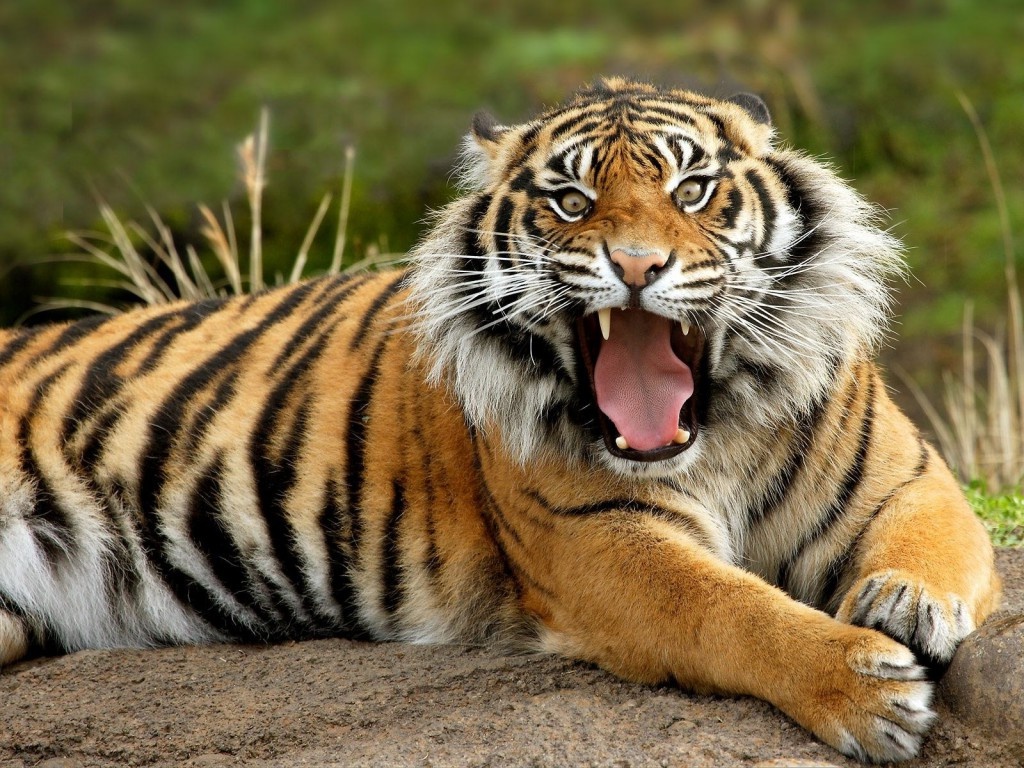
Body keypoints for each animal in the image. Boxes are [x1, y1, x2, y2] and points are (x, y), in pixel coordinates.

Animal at [0, 78, 1000, 762]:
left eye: (690, 192)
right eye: (572, 201)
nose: (636, 266)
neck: (716, 432)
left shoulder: (909, 477)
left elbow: (936, 544)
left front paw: (906, 605)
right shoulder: (601, 540)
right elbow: (731, 608)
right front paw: (866, 690)